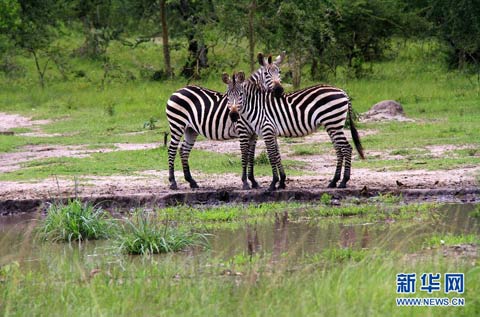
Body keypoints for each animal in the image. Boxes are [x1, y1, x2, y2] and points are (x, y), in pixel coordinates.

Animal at [166, 52, 284, 189]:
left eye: (279, 72)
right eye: (266, 74)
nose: (279, 90)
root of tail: (177, 91)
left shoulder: (253, 134)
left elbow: (251, 156)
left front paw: (253, 181)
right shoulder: (242, 131)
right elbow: (245, 154)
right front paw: (245, 182)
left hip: (190, 129)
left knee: (183, 150)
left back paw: (191, 181)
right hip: (177, 124)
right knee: (172, 149)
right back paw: (173, 182)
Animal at [223, 71, 366, 190]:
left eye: (241, 94)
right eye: (228, 95)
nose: (233, 115)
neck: (256, 107)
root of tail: (343, 92)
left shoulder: (267, 130)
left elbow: (271, 156)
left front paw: (273, 184)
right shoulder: (272, 132)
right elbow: (277, 155)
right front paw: (281, 182)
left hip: (333, 123)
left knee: (347, 148)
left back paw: (343, 181)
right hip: (332, 125)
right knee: (339, 149)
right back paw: (334, 181)